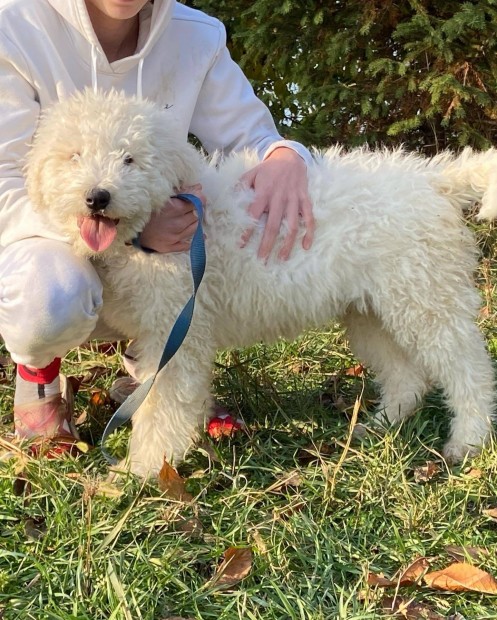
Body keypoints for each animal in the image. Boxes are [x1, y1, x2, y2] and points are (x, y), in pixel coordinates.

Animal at [26, 88, 496, 474]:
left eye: (130, 159)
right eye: (74, 156)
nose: (97, 197)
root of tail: (433, 179)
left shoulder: (177, 332)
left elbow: (163, 406)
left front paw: (141, 469)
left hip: (426, 299)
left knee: (469, 369)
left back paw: (468, 440)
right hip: (371, 311)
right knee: (407, 377)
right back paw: (379, 425)